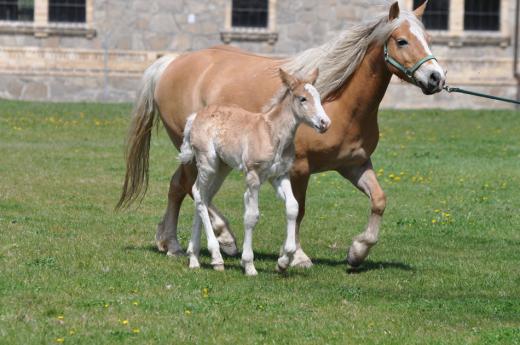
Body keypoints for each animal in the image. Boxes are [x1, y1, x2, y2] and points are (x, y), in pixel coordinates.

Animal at [181, 68, 332, 276]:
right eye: (303, 98)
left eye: (318, 97)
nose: (325, 123)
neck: (273, 133)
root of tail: (195, 116)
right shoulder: (253, 176)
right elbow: (252, 216)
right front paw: (249, 264)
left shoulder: (279, 175)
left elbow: (293, 207)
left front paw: (284, 261)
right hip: (208, 163)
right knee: (198, 193)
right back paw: (216, 257)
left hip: (222, 167)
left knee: (203, 196)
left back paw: (194, 257)